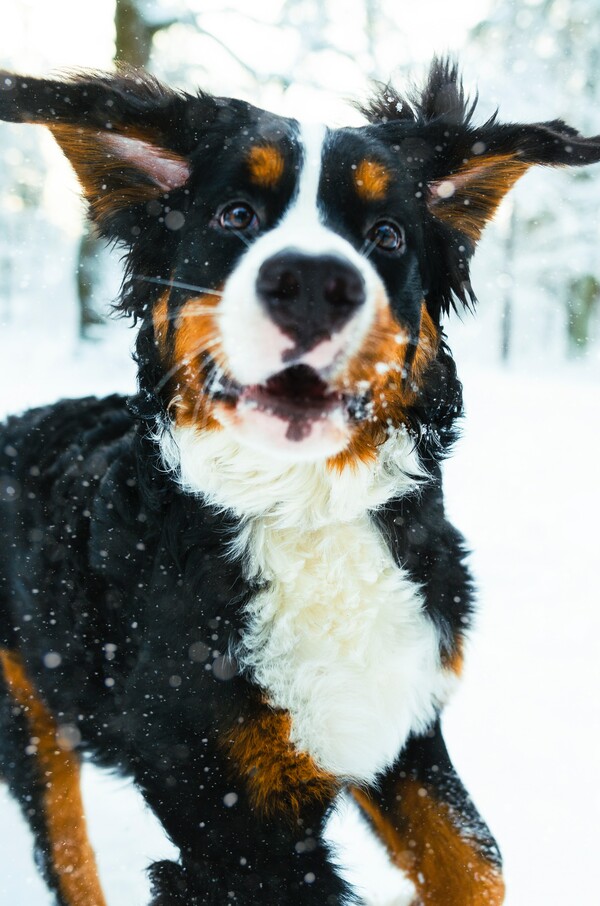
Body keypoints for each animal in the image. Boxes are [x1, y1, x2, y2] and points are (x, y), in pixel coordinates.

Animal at [1, 56, 600, 904]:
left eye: (386, 234)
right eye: (235, 215)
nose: (314, 282)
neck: (306, 511)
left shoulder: (401, 725)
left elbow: (477, 860)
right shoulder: (232, 815)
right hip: (32, 721)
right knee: (69, 857)